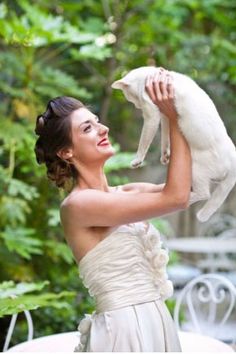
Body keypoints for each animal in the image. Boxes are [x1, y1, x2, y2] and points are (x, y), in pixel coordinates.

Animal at [111, 66, 236, 221]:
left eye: (130, 97)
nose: (137, 107)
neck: (150, 76)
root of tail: (233, 160)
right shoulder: (165, 115)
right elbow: (165, 137)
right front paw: (165, 155)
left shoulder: (152, 116)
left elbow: (144, 141)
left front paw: (138, 160)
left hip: (195, 168)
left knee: (204, 194)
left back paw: (185, 199)